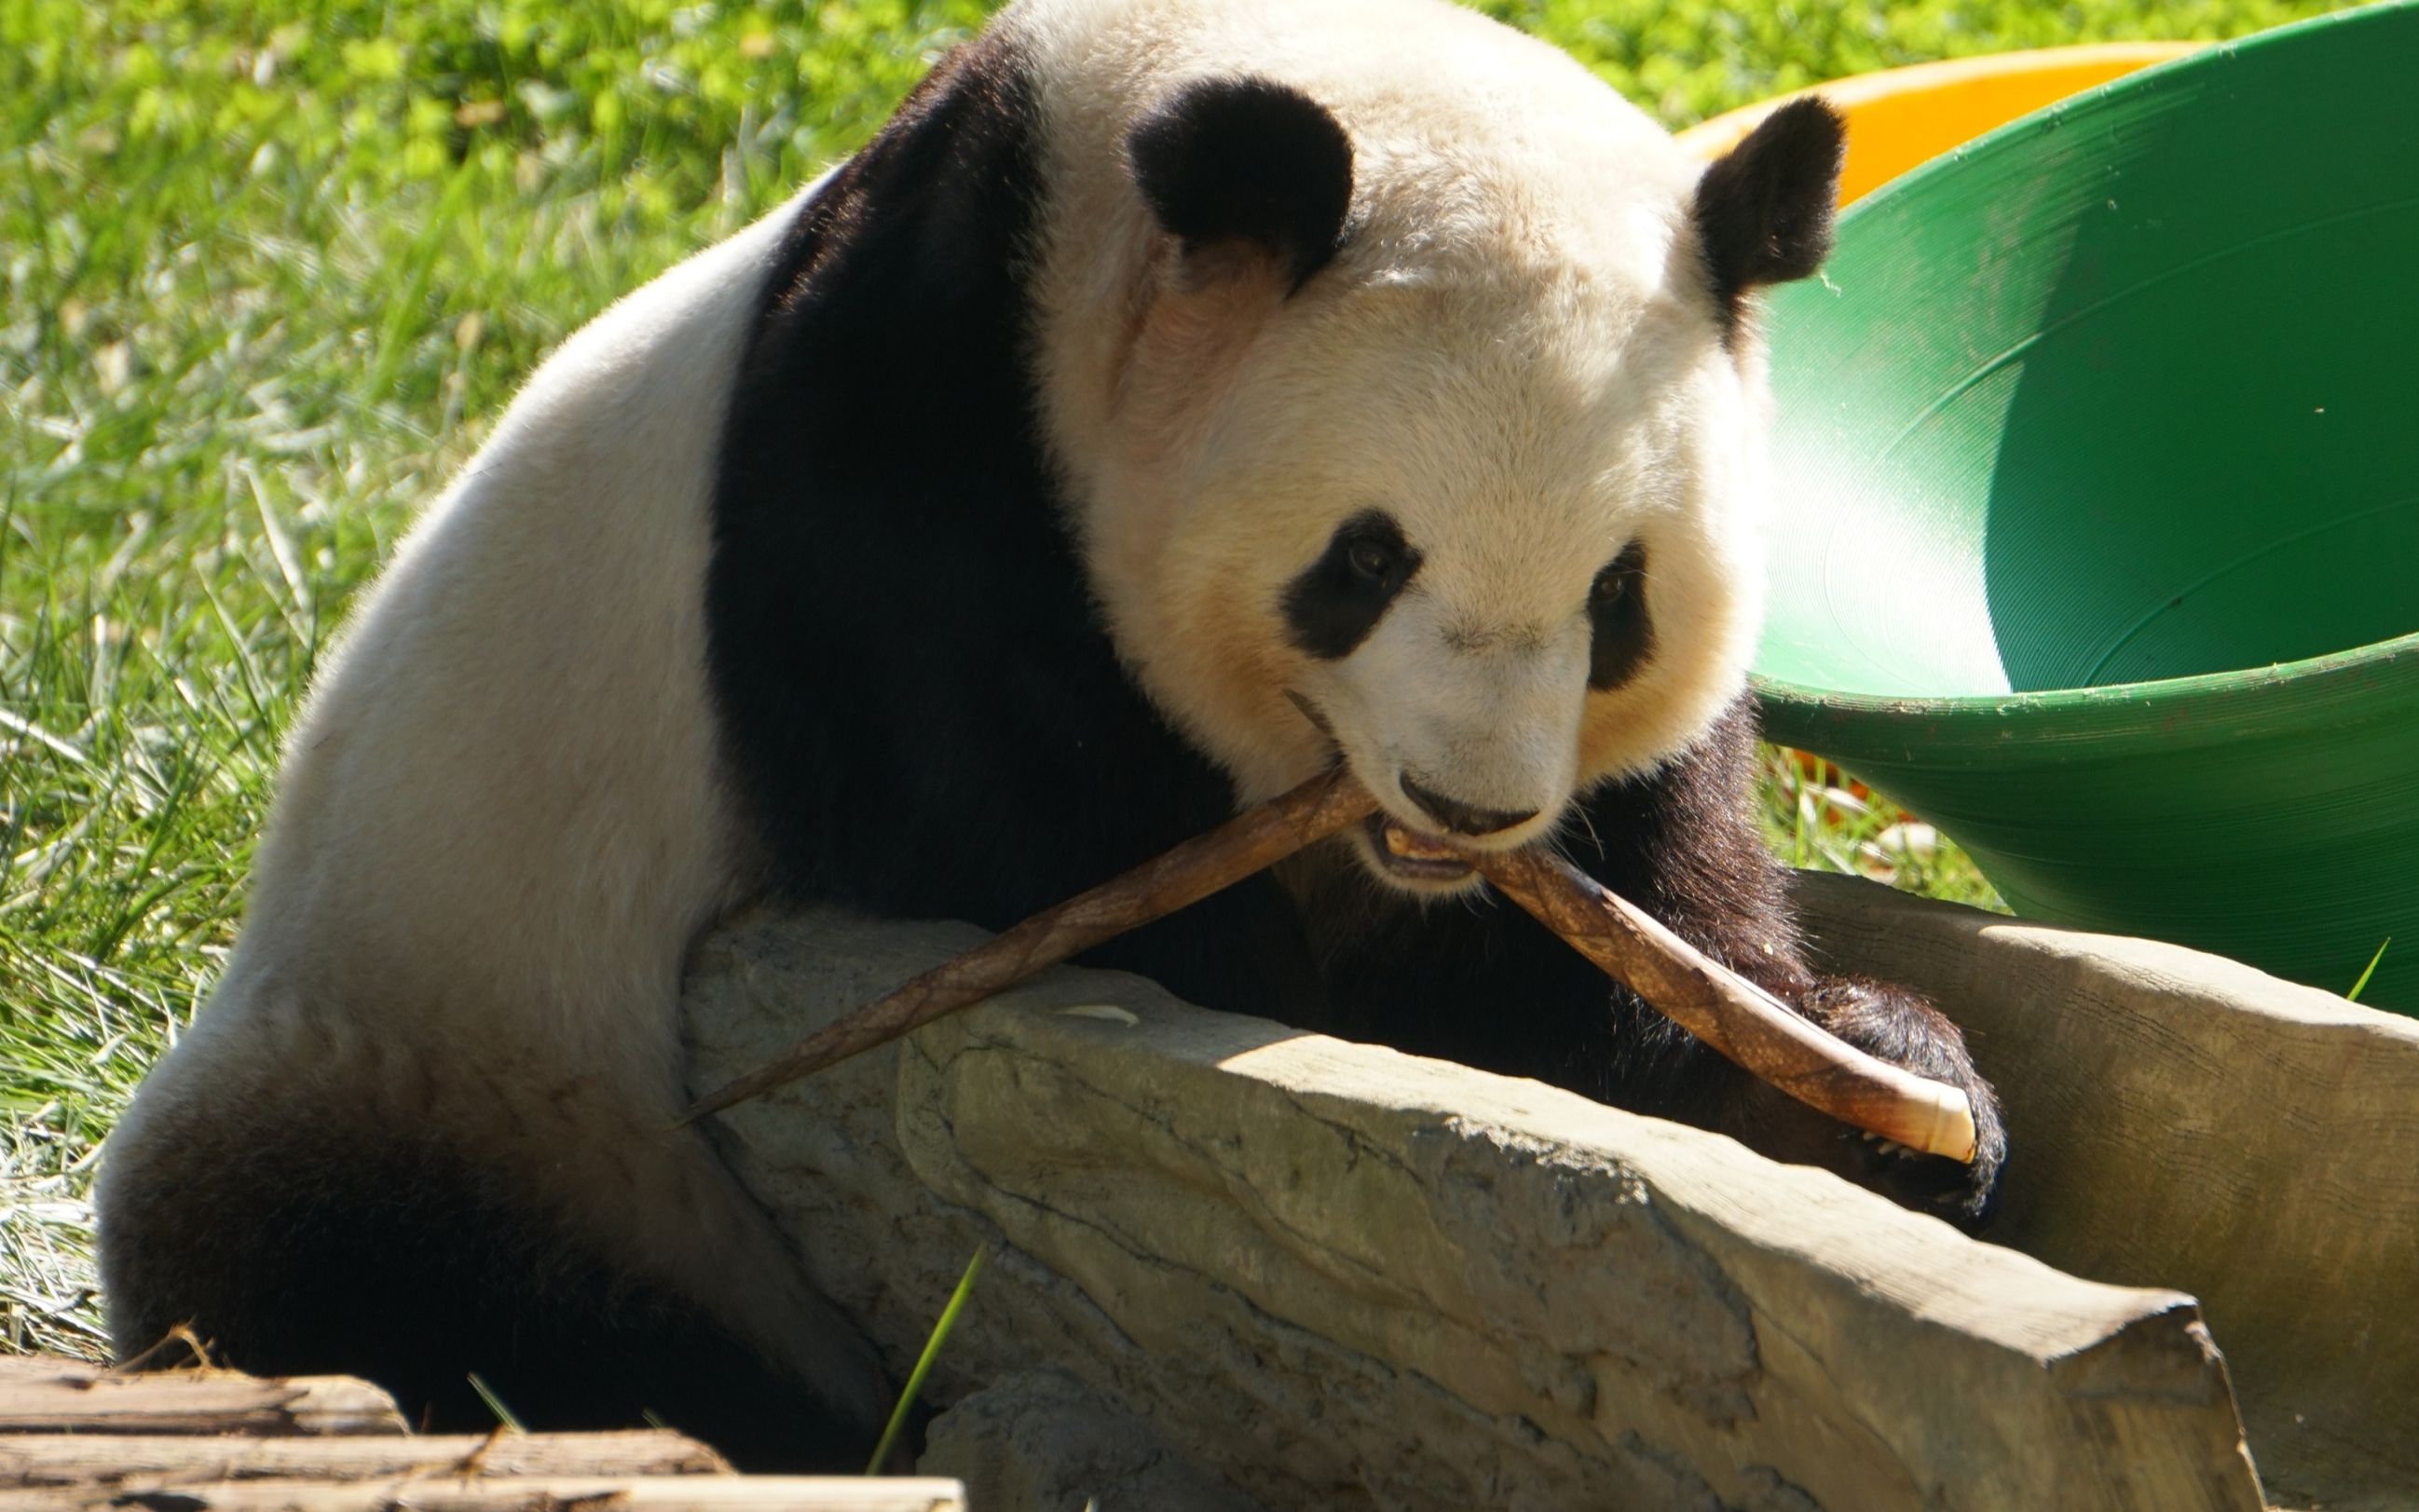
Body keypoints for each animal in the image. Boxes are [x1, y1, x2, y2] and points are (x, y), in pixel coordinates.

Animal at [94, 0, 2002, 1470]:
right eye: (1365, 559)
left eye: (1619, 593)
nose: (1469, 807)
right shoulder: (914, 452)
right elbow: (1004, 825)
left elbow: (1650, 928)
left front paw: (1886, 1081)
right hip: (474, 1059)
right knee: (396, 1283)